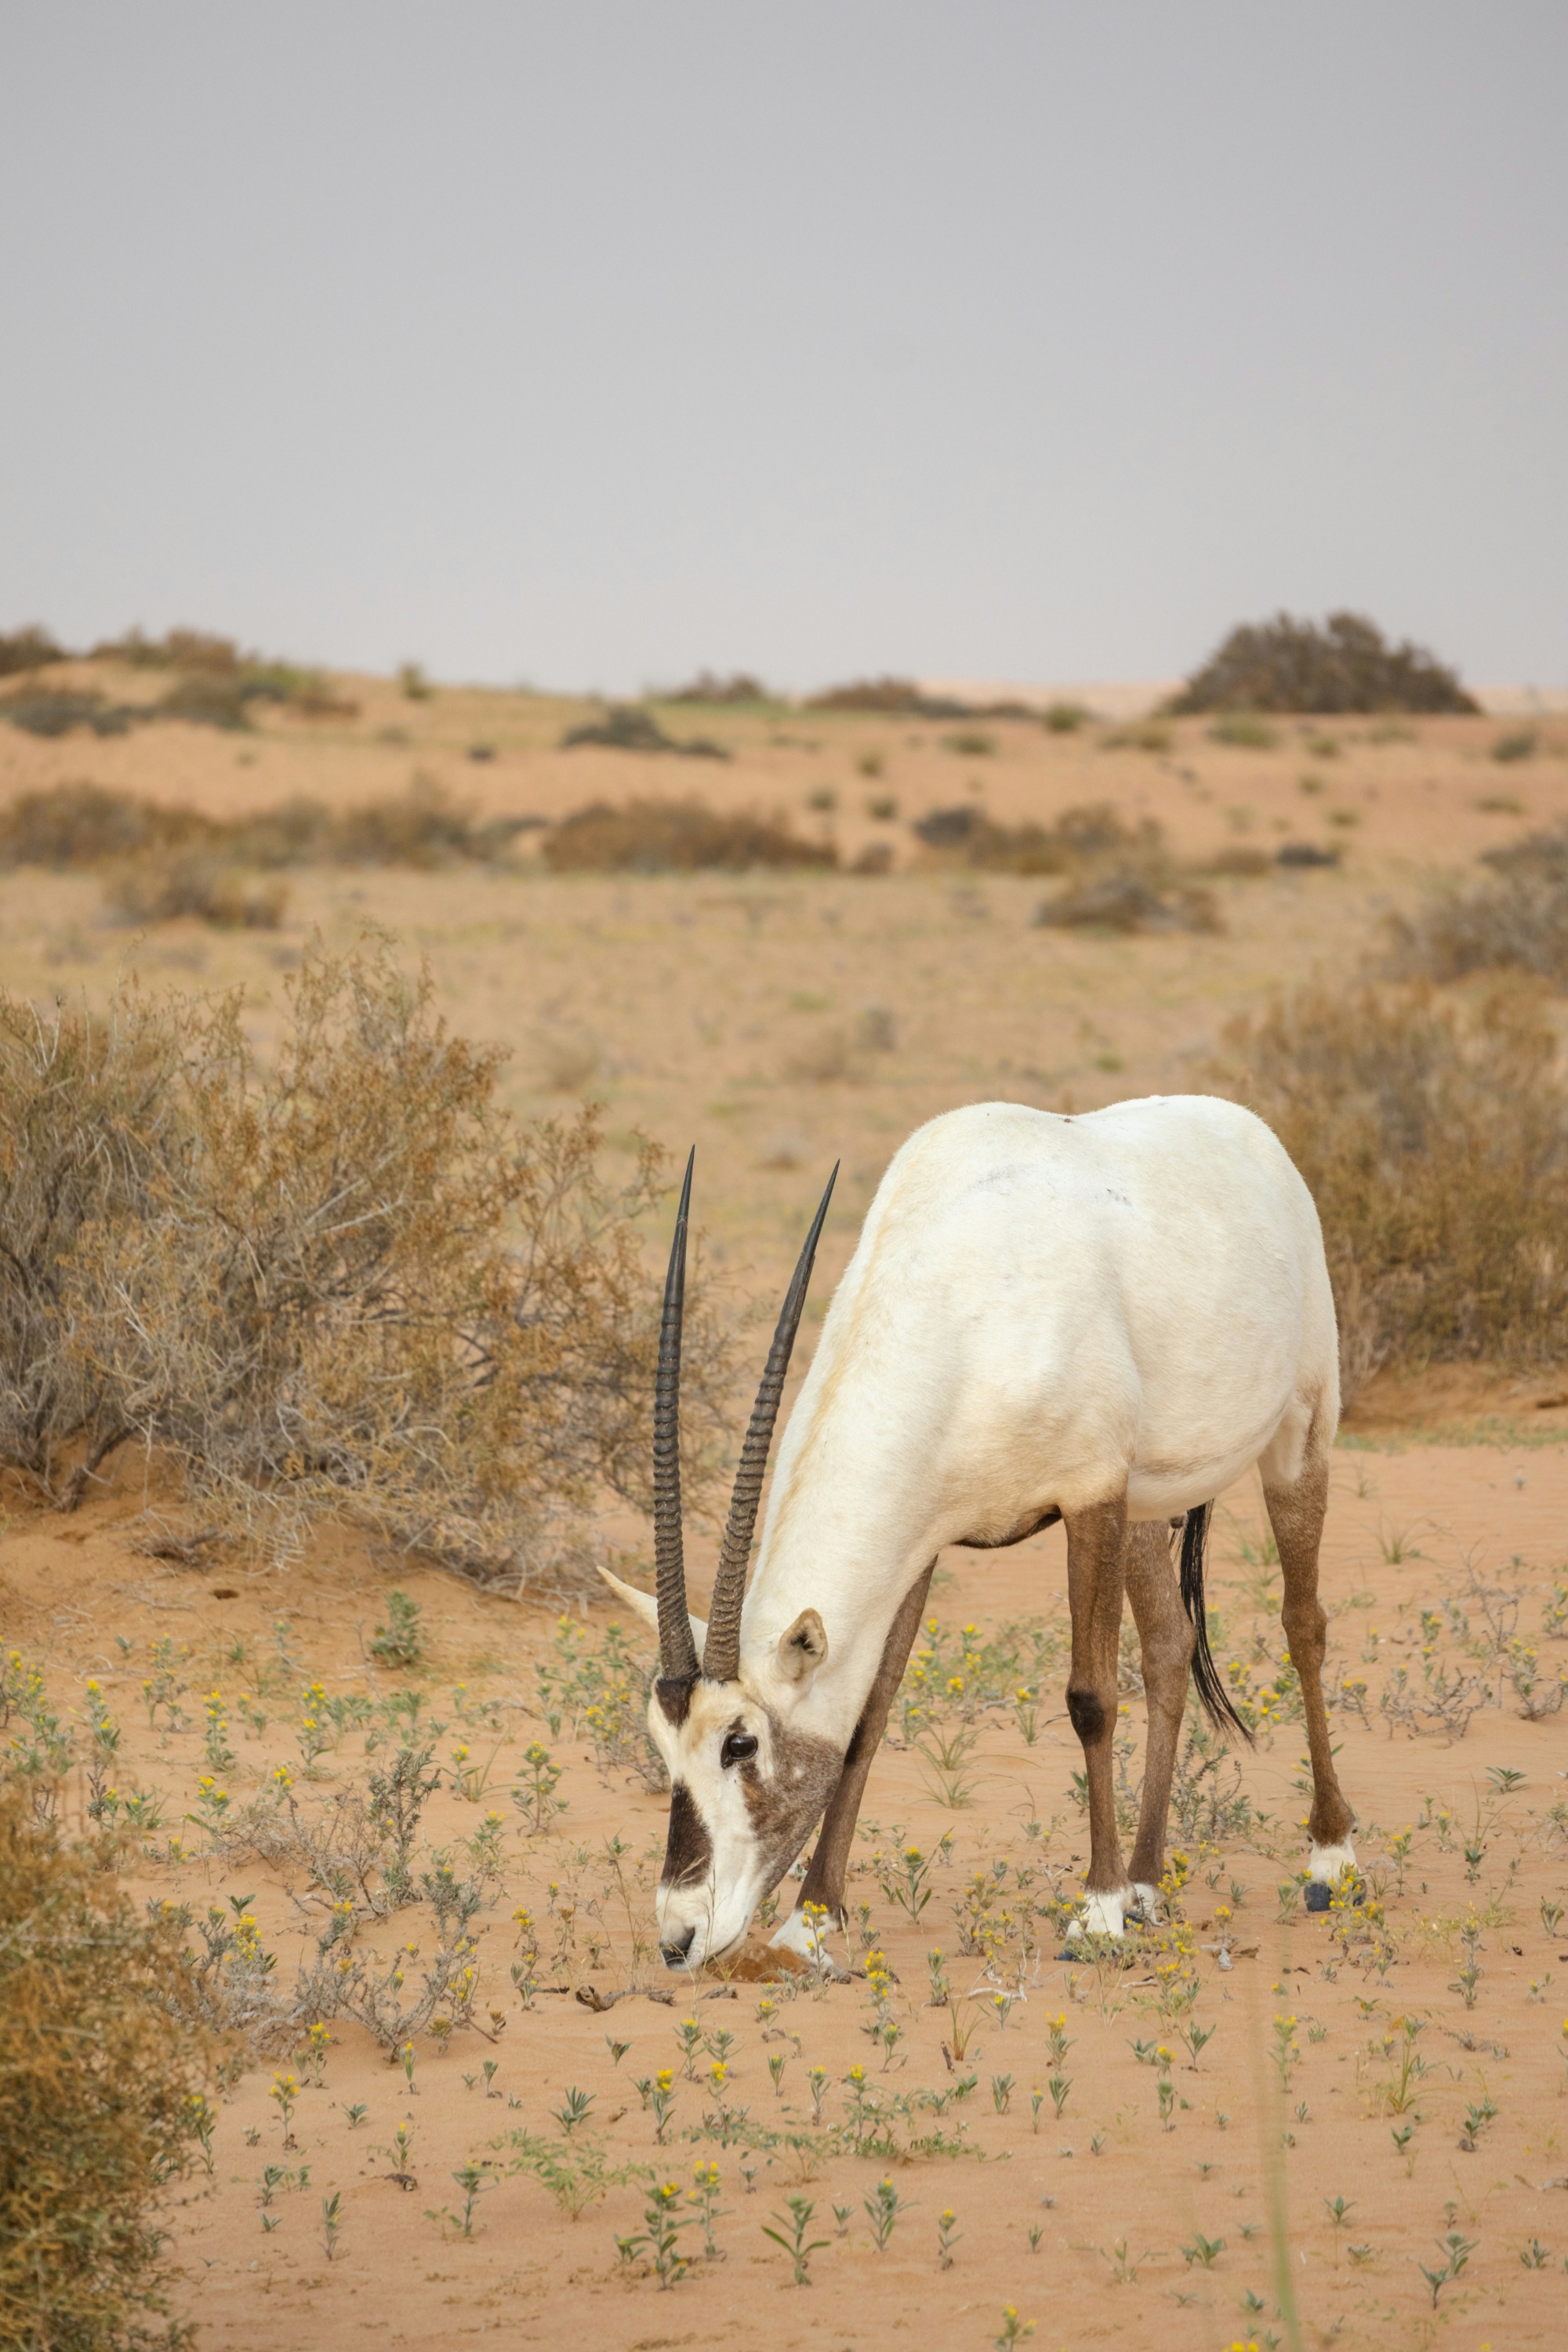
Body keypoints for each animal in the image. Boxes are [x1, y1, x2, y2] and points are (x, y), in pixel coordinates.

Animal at [601, 1096, 1356, 1968]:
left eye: (740, 1743)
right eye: (663, 1744)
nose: (678, 1936)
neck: (961, 1305)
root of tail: (1248, 1130)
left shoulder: (1089, 1496)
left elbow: (1091, 1697)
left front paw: (1094, 1910)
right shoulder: (921, 1542)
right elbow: (871, 1712)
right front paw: (810, 1921)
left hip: (1299, 1433)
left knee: (1303, 1625)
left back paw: (1328, 1859)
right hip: (1145, 1507)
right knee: (1170, 1648)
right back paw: (1145, 1883)